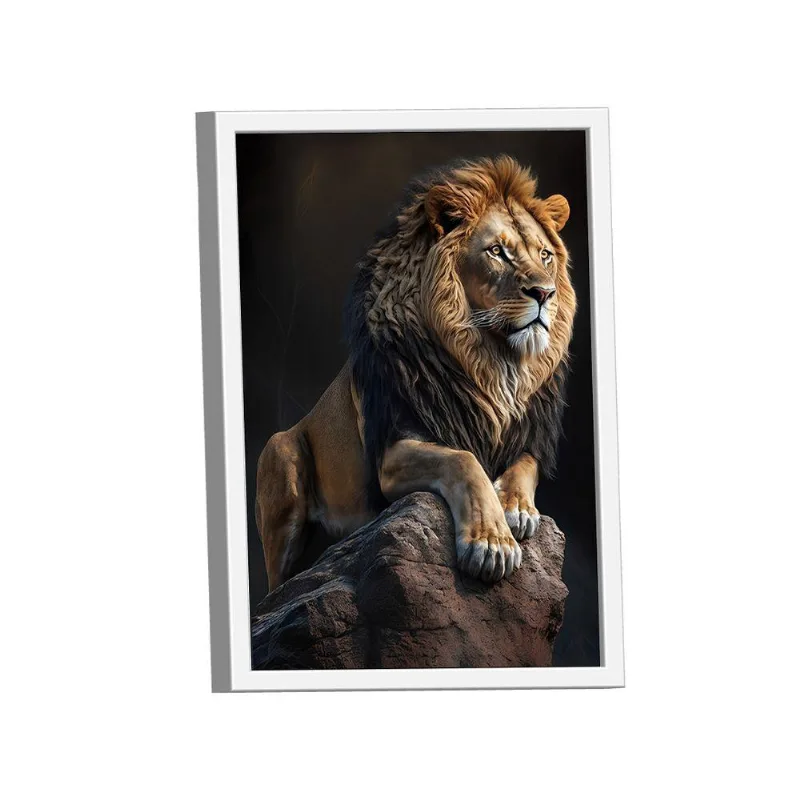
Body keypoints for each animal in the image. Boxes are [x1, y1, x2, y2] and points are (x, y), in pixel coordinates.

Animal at [256, 155, 576, 591]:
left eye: (545, 255)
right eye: (497, 252)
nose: (545, 293)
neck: (493, 364)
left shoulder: (528, 436)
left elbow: (526, 466)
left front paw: (517, 508)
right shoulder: (392, 451)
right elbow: (464, 461)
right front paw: (491, 544)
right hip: (278, 454)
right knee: (275, 588)